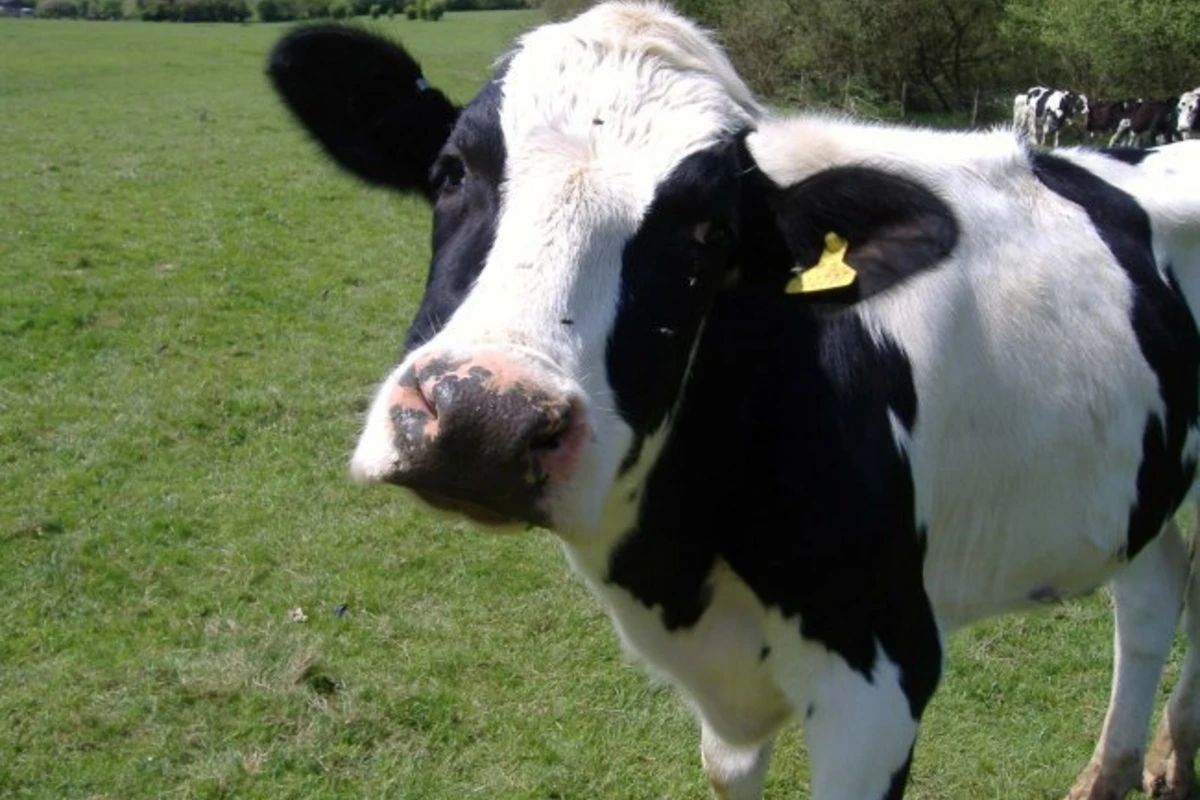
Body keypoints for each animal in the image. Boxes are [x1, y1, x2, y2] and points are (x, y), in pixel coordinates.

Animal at [267, 4, 1200, 799]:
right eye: (451, 170)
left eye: (708, 232)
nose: (483, 421)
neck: (679, 563)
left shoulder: (884, 670)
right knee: (1155, 592)